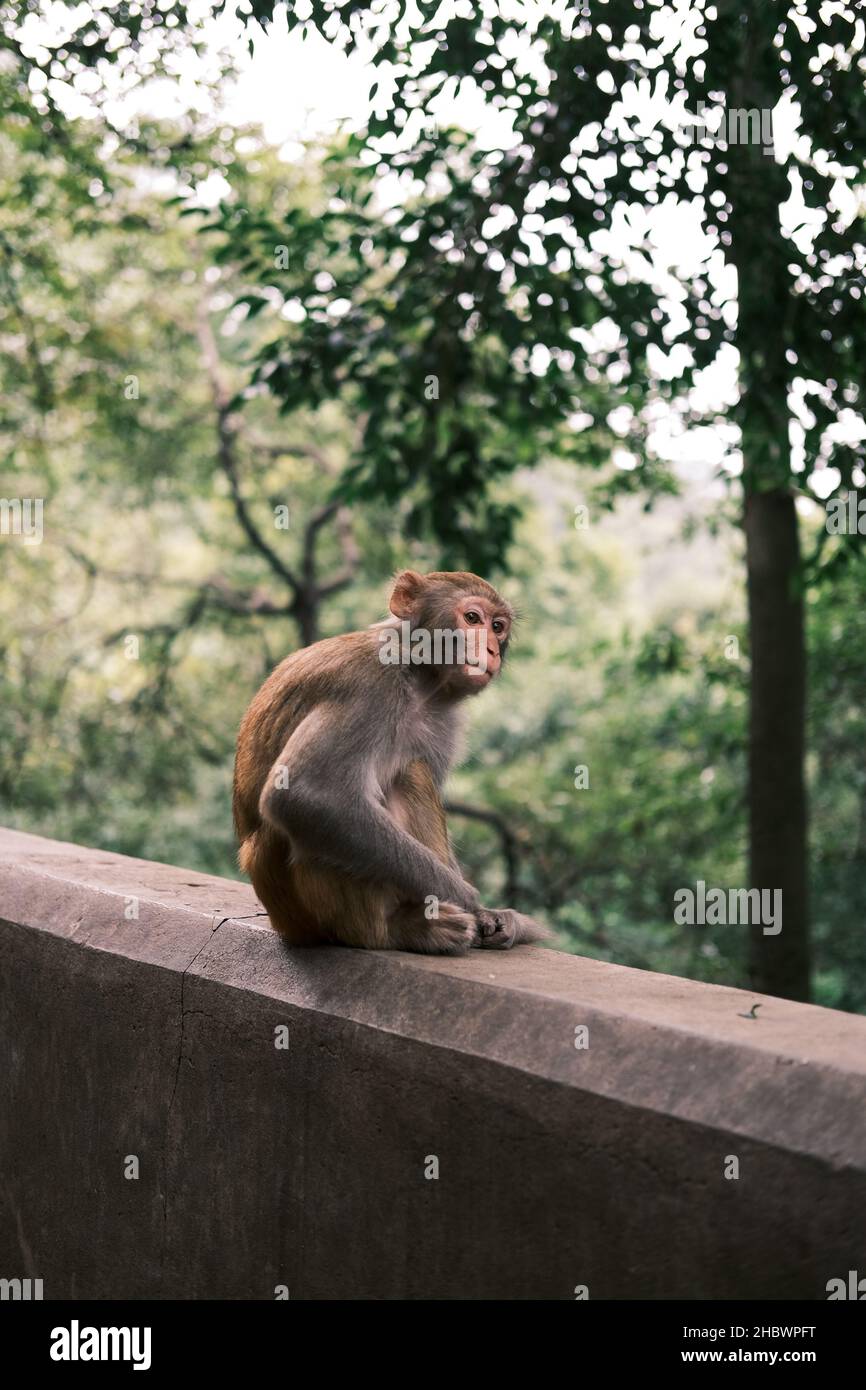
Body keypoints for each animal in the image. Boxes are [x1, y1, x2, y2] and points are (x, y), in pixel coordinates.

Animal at [232, 569, 550, 955]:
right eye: (473, 618)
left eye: (499, 627)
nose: (490, 649)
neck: (418, 677)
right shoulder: (369, 685)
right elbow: (305, 796)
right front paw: (471, 902)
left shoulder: (444, 723)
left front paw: (500, 917)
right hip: (314, 911)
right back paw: (404, 928)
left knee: (413, 770)